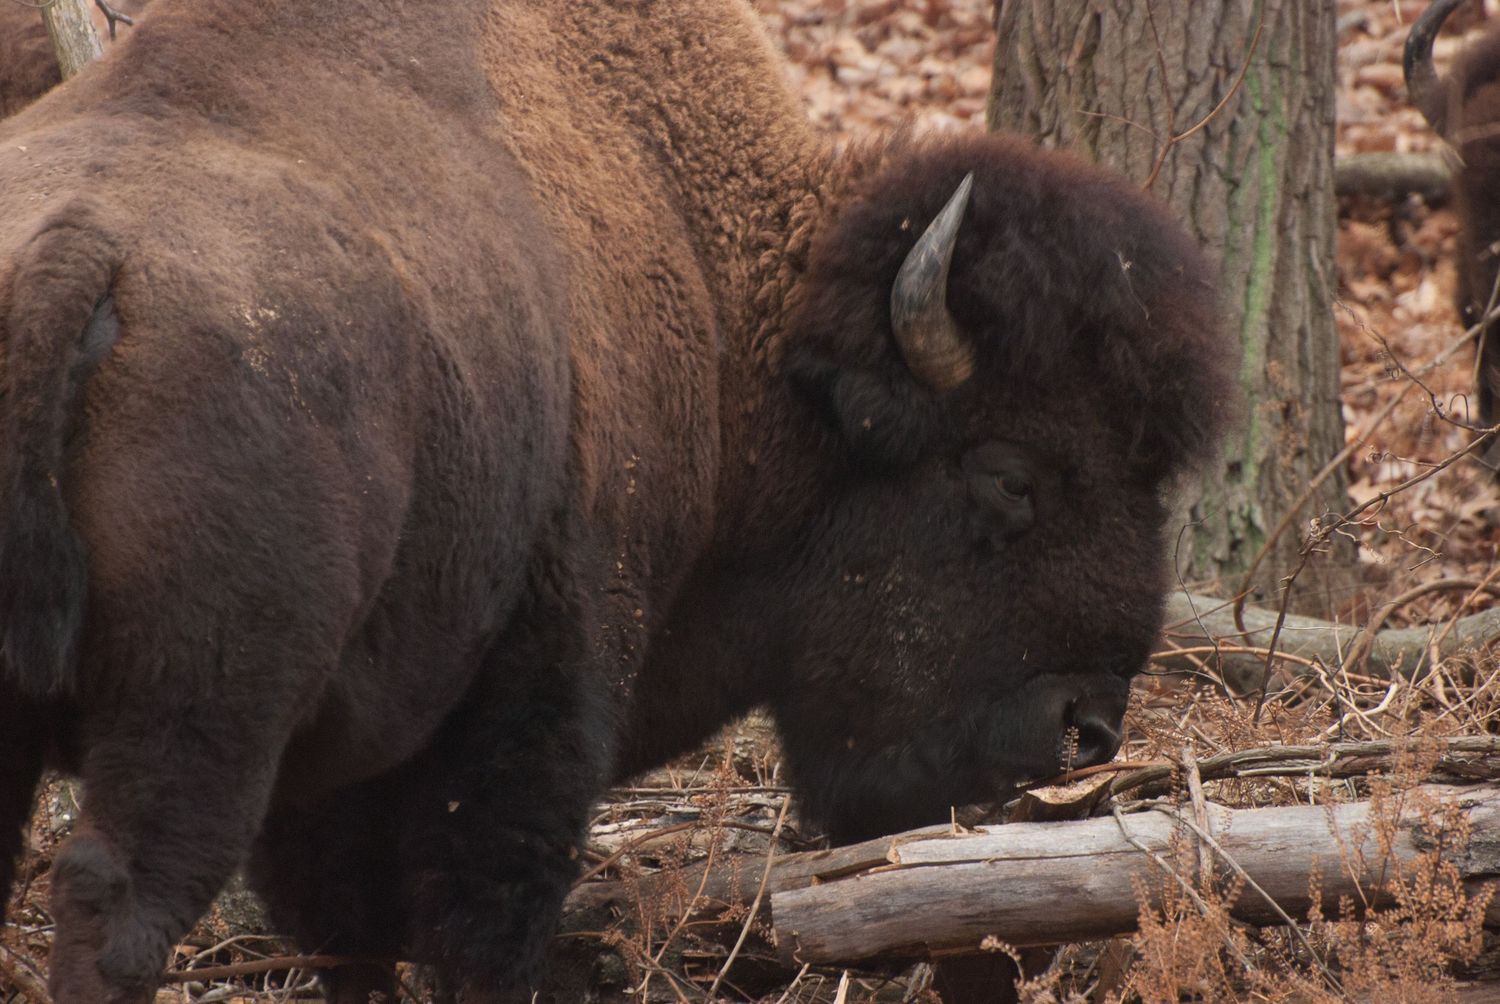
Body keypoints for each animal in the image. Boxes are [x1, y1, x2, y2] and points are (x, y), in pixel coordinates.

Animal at [0, 0, 1236, 1000]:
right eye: (1011, 477)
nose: (1084, 728)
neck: (743, 339)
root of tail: (79, 255)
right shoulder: (542, 691)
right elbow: (481, 922)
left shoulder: (354, 754)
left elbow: (353, 936)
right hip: (201, 715)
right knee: (118, 899)